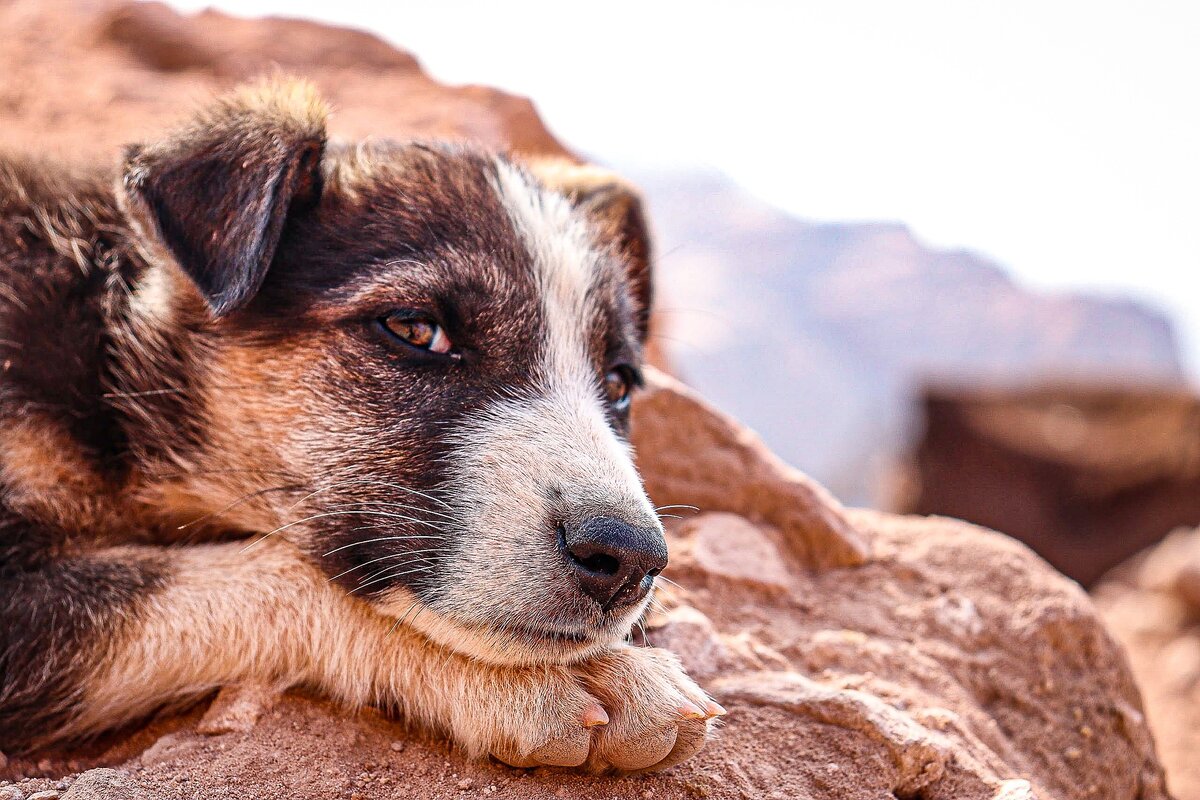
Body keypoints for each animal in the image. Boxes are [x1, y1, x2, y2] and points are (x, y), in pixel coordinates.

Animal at [0, 77, 720, 772]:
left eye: (618, 383)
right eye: (415, 329)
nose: (632, 560)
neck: (103, 358)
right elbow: (277, 573)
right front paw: (571, 681)